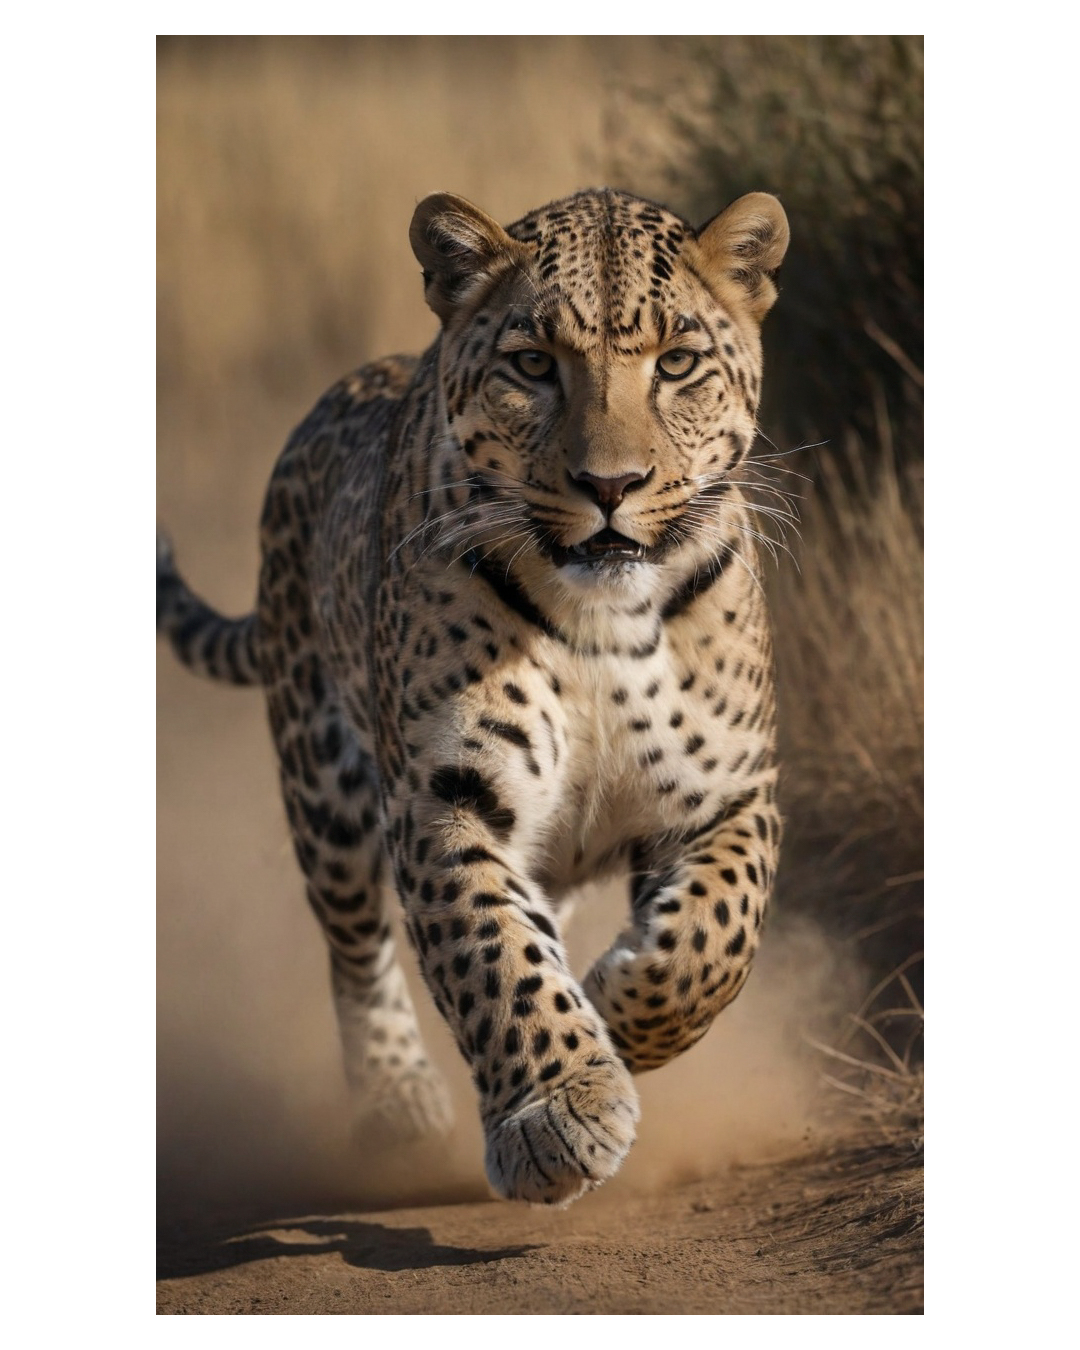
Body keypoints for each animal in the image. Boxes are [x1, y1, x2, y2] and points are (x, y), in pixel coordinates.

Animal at [157, 186, 790, 1207]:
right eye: (532, 365)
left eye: (678, 363)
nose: (611, 485)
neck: (603, 623)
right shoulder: (443, 796)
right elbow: (490, 953)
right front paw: (559, 1112)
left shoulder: (728, 793)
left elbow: (713, 942)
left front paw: (616, 1007)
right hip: (321, 783)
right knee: (354, 945)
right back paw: (397, 1104)